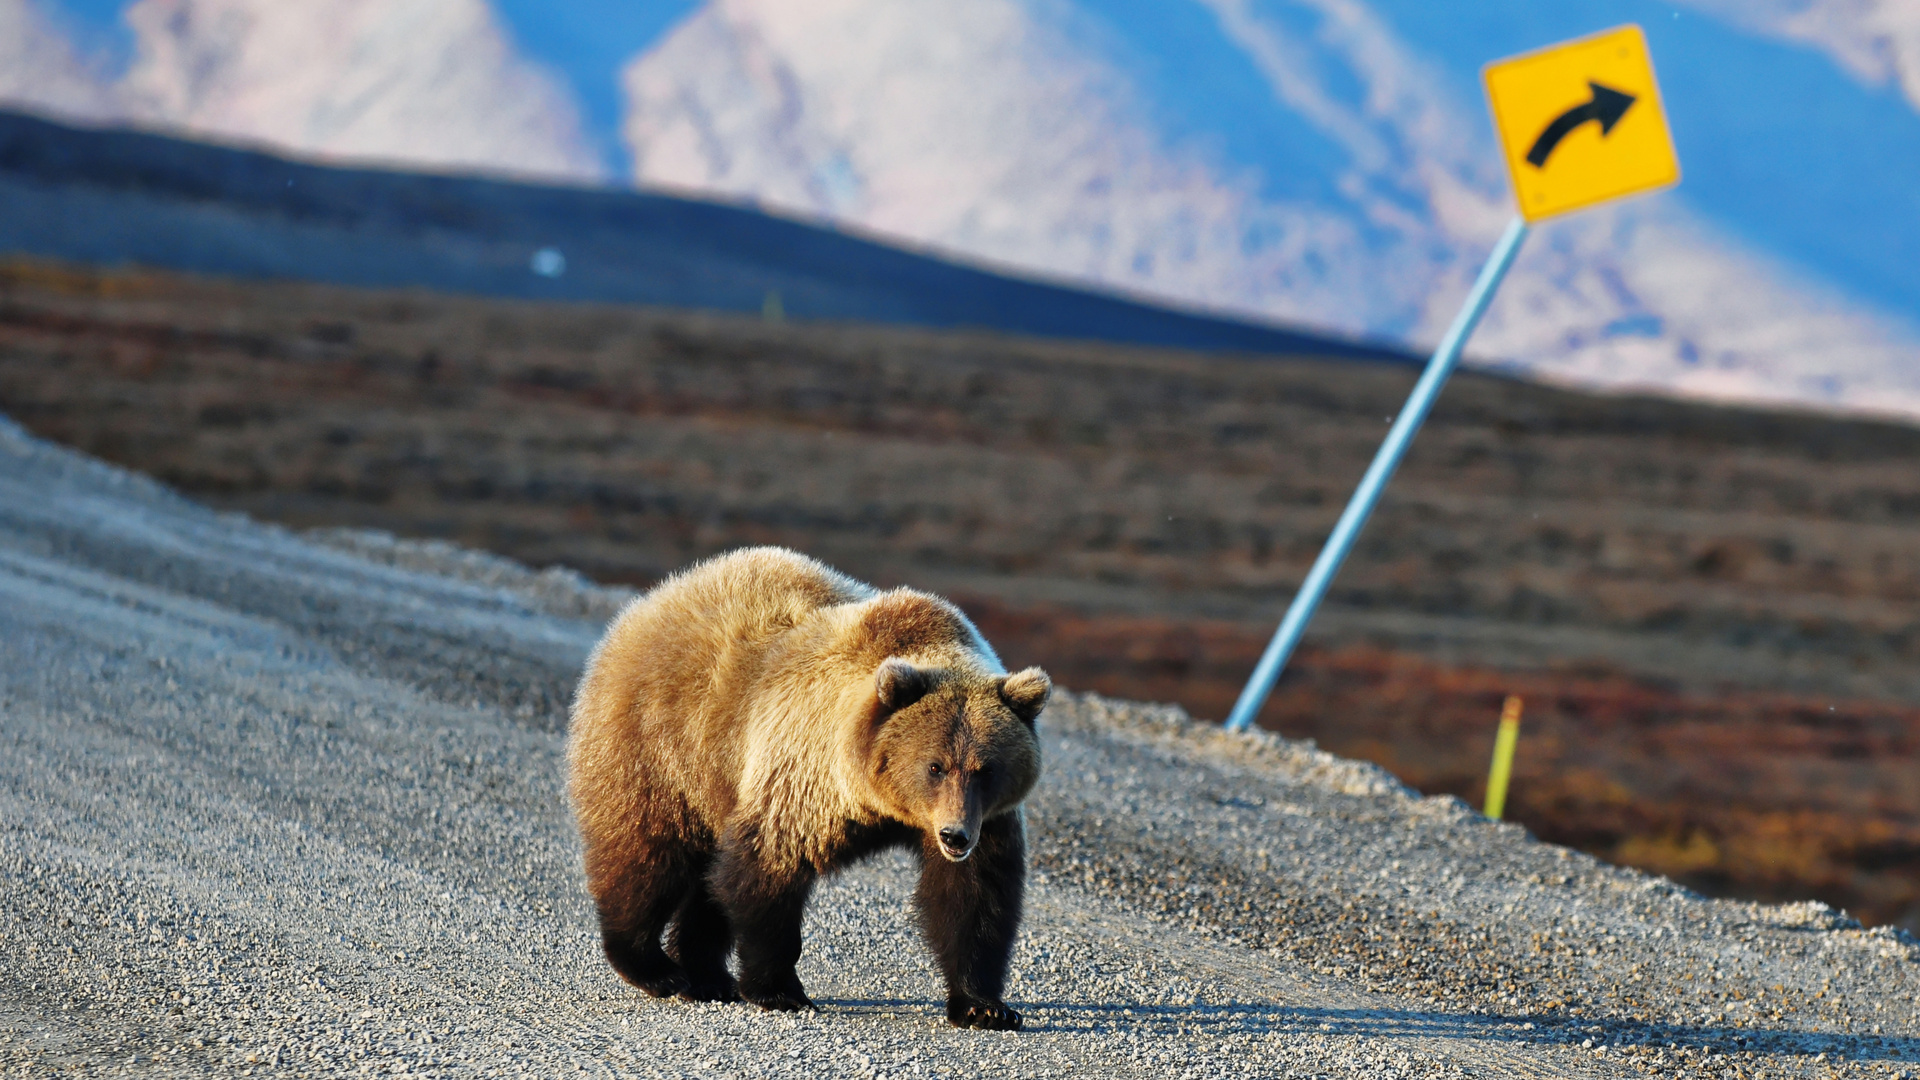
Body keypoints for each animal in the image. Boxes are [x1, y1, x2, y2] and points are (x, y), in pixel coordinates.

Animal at [568, 545, 1052, 1022]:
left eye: (986, 769)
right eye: (935, 766)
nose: (955, 836)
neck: (880, 802)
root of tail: (653, 599)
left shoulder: (987, 818)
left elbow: (975, 896)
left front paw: (984, 1006)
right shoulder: (803, 773)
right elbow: (767, 870)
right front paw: (780, 989)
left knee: (705, 879)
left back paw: (707, 976)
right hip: (664, 745)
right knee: (648, 854)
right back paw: (654, 967)